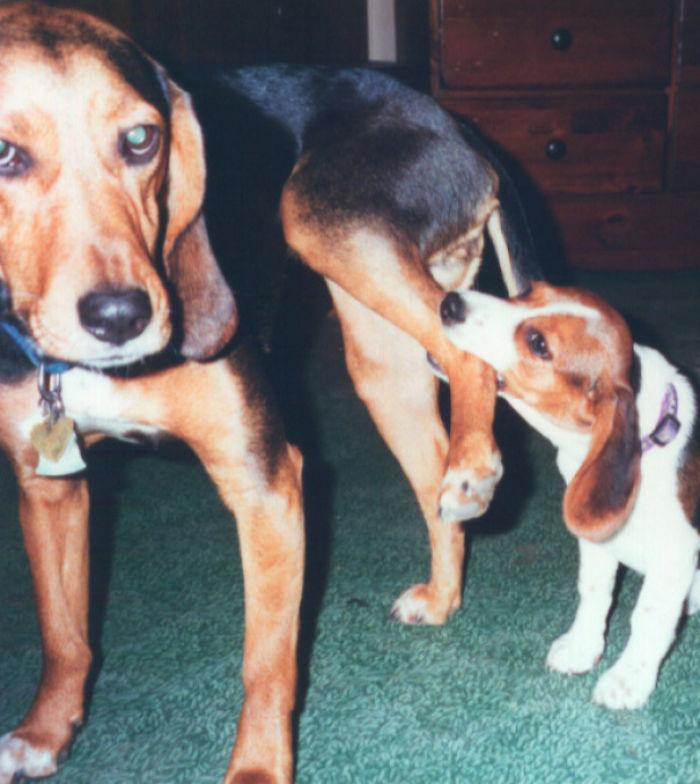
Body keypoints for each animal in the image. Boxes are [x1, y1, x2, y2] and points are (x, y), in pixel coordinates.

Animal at [0, 1, 540, 784]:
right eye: (4, 154)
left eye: (141, 139)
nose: (122, 317)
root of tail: (452, 122)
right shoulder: (47, 491)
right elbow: (63, 634)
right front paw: (44, 733)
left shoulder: (266, 482)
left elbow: (267, 666)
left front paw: (256, 769)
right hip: (378, 355)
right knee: (432, 461)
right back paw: (443, 591)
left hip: (325, 220)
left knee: (470, 358)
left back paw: (474, 470)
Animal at [440, 284, 696, 712]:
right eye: (528, 292)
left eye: (538, 344)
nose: (450, 302)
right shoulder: (598, 544)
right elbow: (594, 592)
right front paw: (582, 647)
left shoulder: (675, 555)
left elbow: (647, 617)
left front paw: (628, 678)